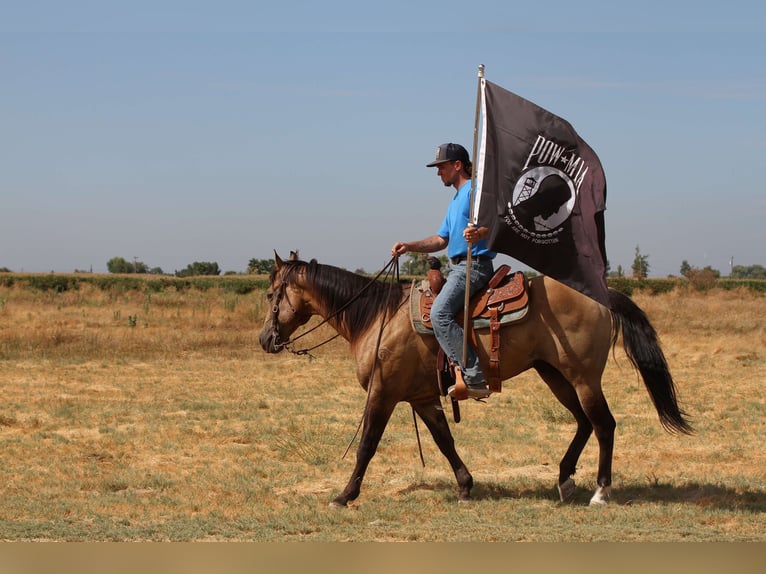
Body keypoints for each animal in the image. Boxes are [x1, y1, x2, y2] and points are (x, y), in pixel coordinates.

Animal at [260, 252, 696, 508]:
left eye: (269, 294)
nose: (265, 339)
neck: (377, 317)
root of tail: (603, 296)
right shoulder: (421, 398)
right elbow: (444, 441)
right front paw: (466, 485)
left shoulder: (383, 394)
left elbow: (367, 445)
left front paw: (345, 494)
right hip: (554, 374)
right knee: (584, 423)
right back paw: (564, 481)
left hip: (583, 377)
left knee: (604, 424)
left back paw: (600, 492)